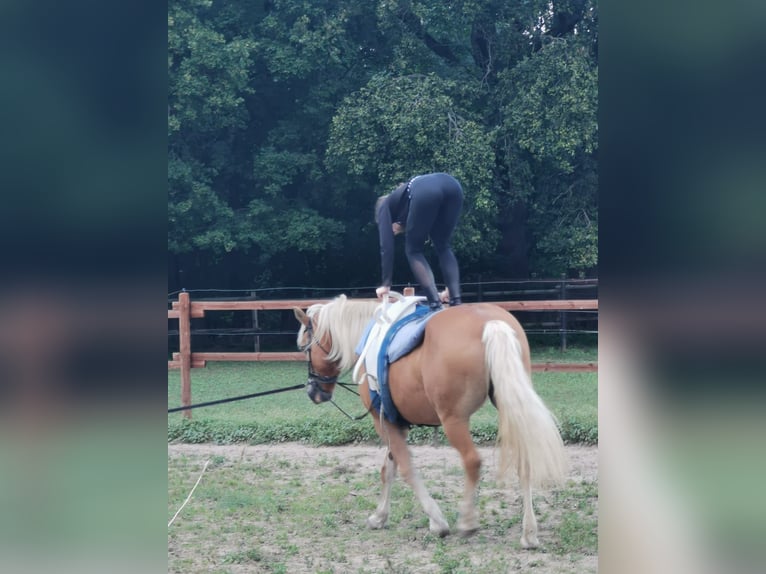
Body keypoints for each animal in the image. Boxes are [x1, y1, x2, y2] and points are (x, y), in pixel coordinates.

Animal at [296, 294, 568, 548]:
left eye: (305, 348)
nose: (312, 391)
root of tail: (490, 323)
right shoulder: (397, 423)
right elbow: (388, 468)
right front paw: (380, 516)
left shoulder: (383, 421)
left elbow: (405, 468)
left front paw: (437, 521)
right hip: (511, 405)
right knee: (524, 460)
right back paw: (529, 533)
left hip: (453, 420)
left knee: (472, 461)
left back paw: (468, 521)